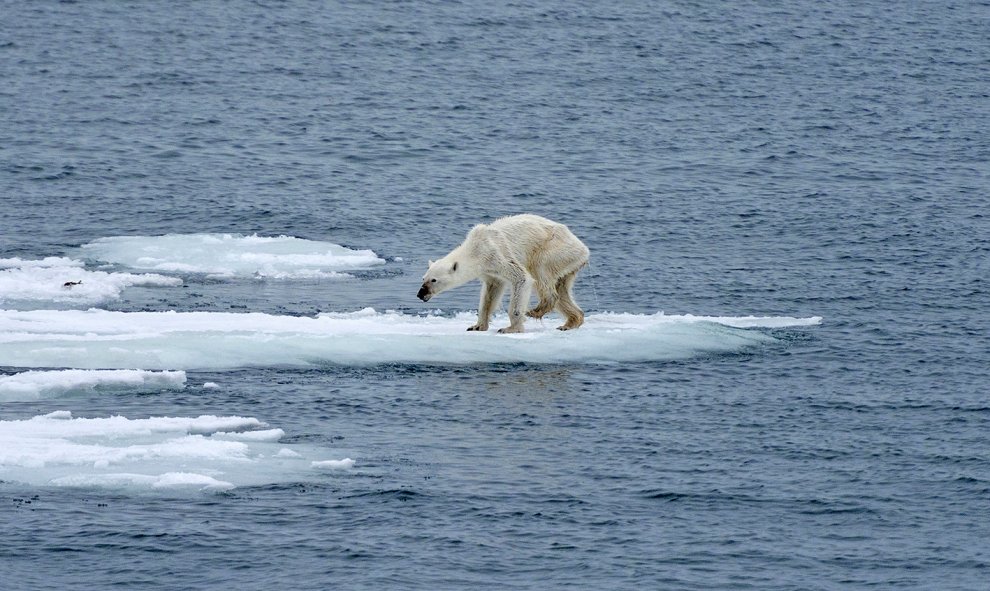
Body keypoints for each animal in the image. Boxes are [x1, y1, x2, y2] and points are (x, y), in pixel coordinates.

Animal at [416, 214, 588, 336]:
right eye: (423, 278)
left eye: (434, 280)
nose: (420, 294)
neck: (475, 249)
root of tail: (583, 249)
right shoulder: (489, 271)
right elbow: (491, 293)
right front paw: (477, 326)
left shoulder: (496, 255)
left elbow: (522, 278)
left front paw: (510, 328)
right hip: (568, 263)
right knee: (562, 290)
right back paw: (570, 322)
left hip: (554, 250)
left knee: (541, 272)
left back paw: (536, 310)